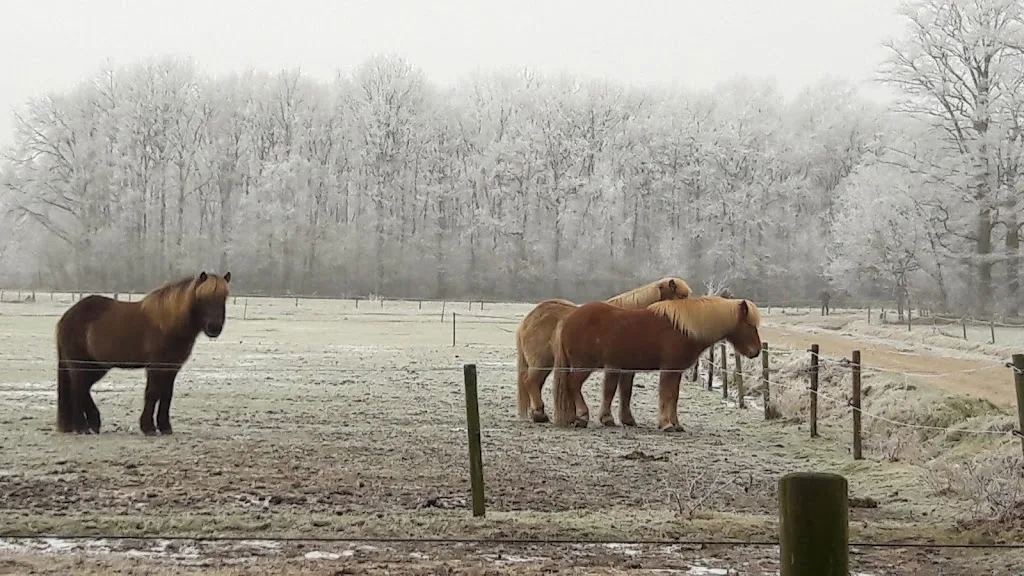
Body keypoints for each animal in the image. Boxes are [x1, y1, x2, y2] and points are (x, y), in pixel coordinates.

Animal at [55, 271, 231, 436]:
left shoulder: (171, 368)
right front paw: (148, 427)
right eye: (202, 298)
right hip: (81, 365)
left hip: (97, 366)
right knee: (78, 388)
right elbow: (152, 393)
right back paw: (82, 426)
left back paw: (93, 423)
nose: (214, 328)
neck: (168, 324)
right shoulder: (155, 366)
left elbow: (166, 395)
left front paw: (165, 427)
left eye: (224, 297)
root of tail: (67, 316)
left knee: (83, 388)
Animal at [514, 277, 692, 425]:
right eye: (682, 296)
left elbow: (626, 392)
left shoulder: (627, 368)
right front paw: (607, 418)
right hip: (542, 363)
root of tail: (527, 321)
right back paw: (541, 414)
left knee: (535, 383)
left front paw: (627, 420)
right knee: (530, 382)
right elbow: (609, 390)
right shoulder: (613, 365)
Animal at [551, 296, 762, 431]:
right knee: (573, 385)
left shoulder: (676, 371)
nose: (757, 351)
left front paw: (676, 425)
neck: (684, 328)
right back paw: (582, 416)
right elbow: (666, 396)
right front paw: (666, 424)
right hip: (583, 366)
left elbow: (674, 397)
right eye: (749, 324)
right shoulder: (669, 370)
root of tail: (568, 320)